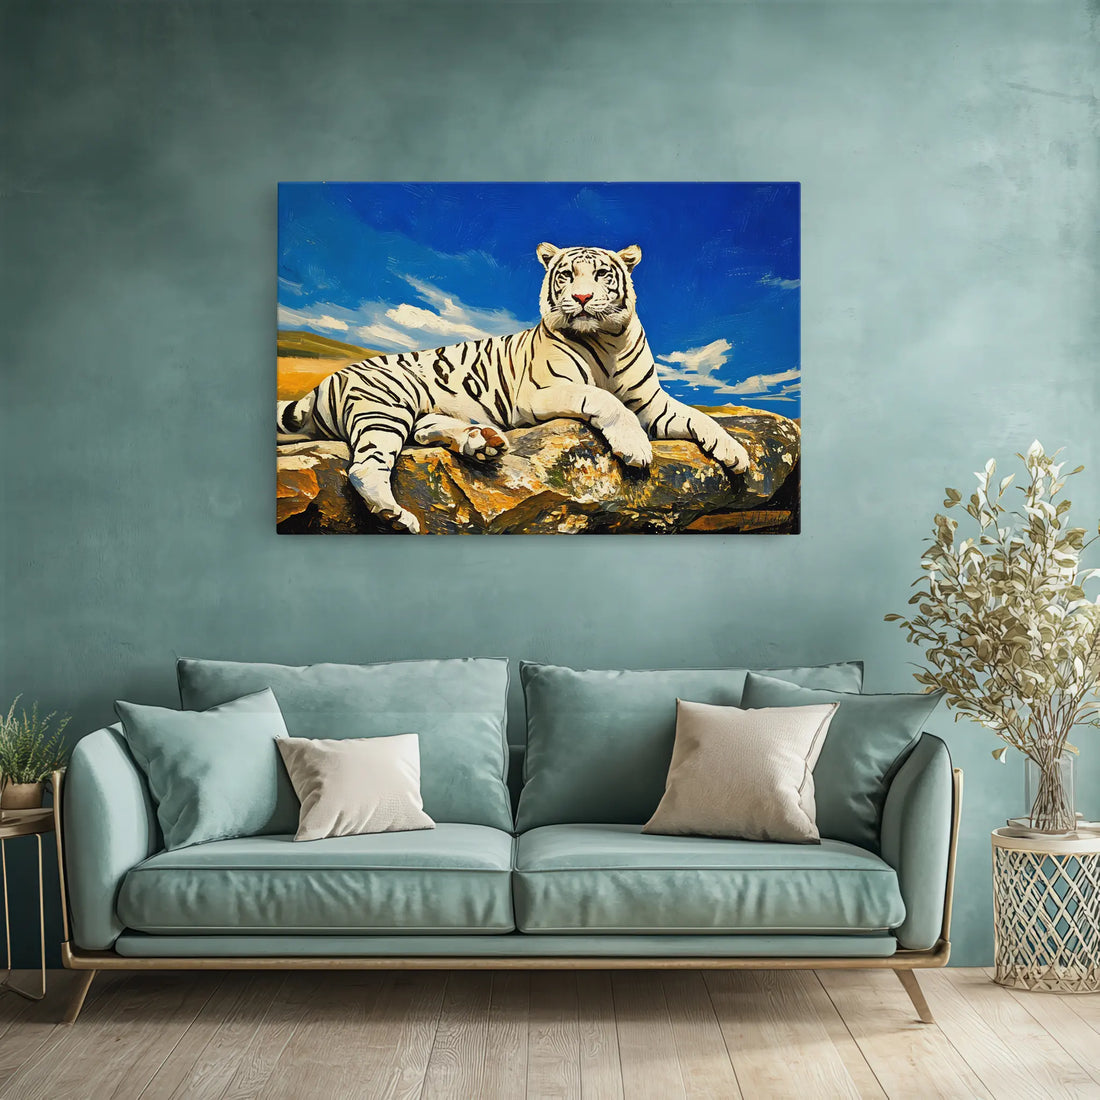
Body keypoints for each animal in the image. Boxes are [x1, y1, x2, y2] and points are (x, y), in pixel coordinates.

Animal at [277, 242, 751, 533]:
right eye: (566, 276)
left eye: (602, 274)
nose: (581, 298)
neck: (606, 338)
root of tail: (329, 379)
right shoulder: (545, 391)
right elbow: (603, 398)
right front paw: (635, 448)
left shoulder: (651, 402)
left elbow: (699, 417)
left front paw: (736, 454)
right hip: (386, 406)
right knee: (365, 467)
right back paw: (397, 515)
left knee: (424, 431)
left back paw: (482, 442)